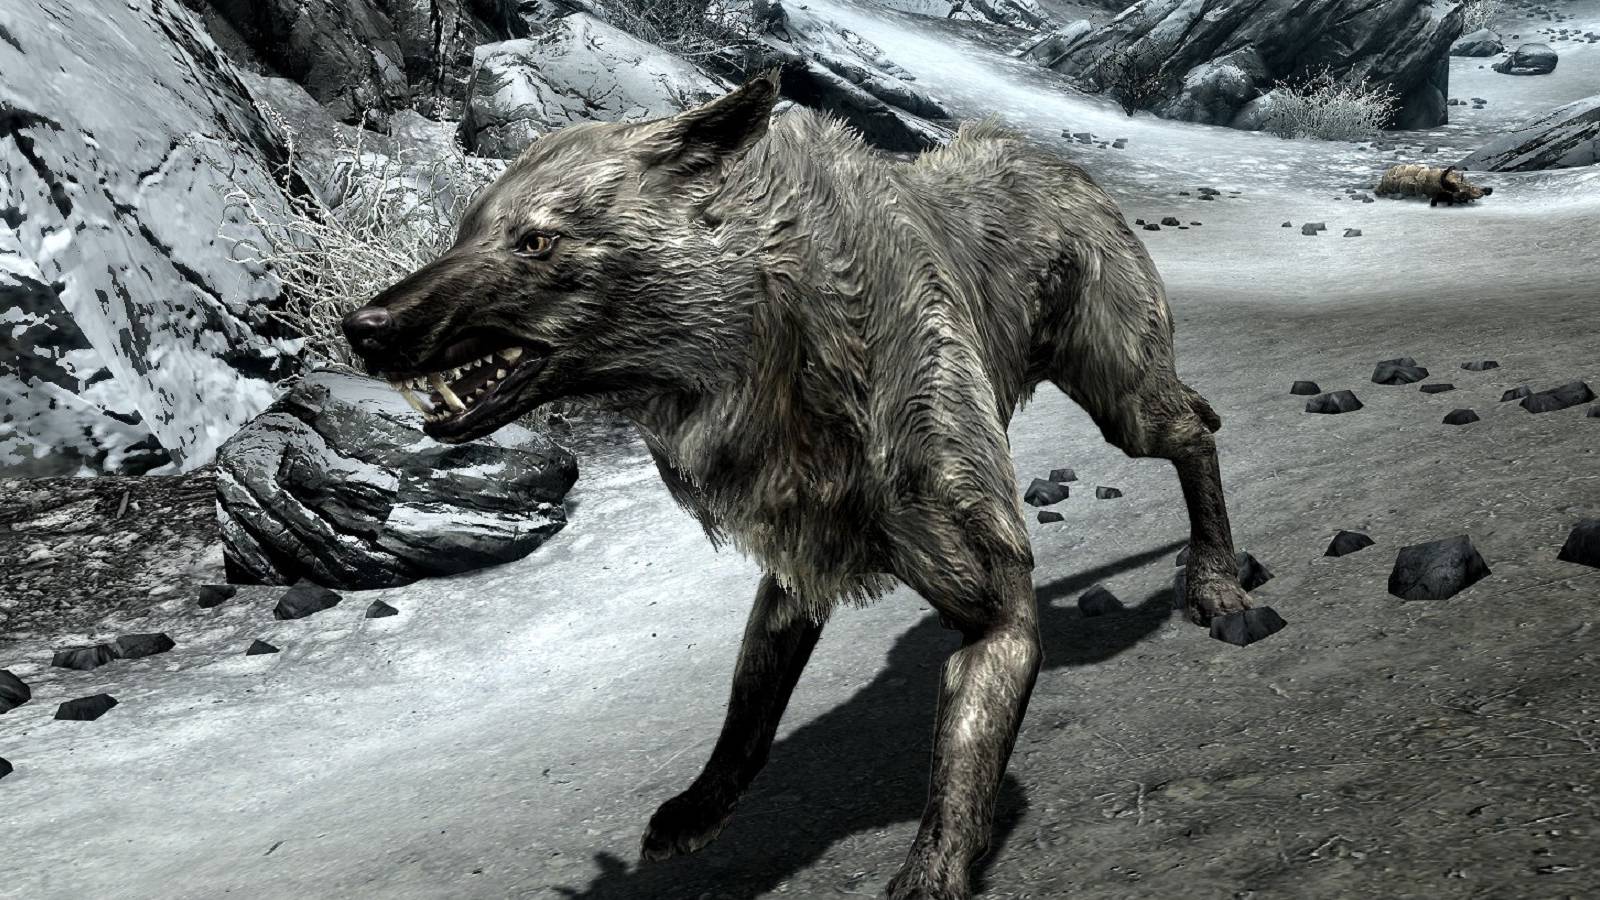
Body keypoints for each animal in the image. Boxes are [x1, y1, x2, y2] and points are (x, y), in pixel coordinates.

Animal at [341, 70, 1280, 899]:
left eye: (536, 241)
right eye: (464, 232)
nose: (362, 325)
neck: (777, 345)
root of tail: (1064, 166)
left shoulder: (997, 610)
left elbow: (960, 766)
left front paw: (932, 874)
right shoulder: (798, 564)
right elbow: (748, 711)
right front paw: (701, 808)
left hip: (1123, 402)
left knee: (1195, 432)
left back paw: (1218, 583)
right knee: (1197, 413)